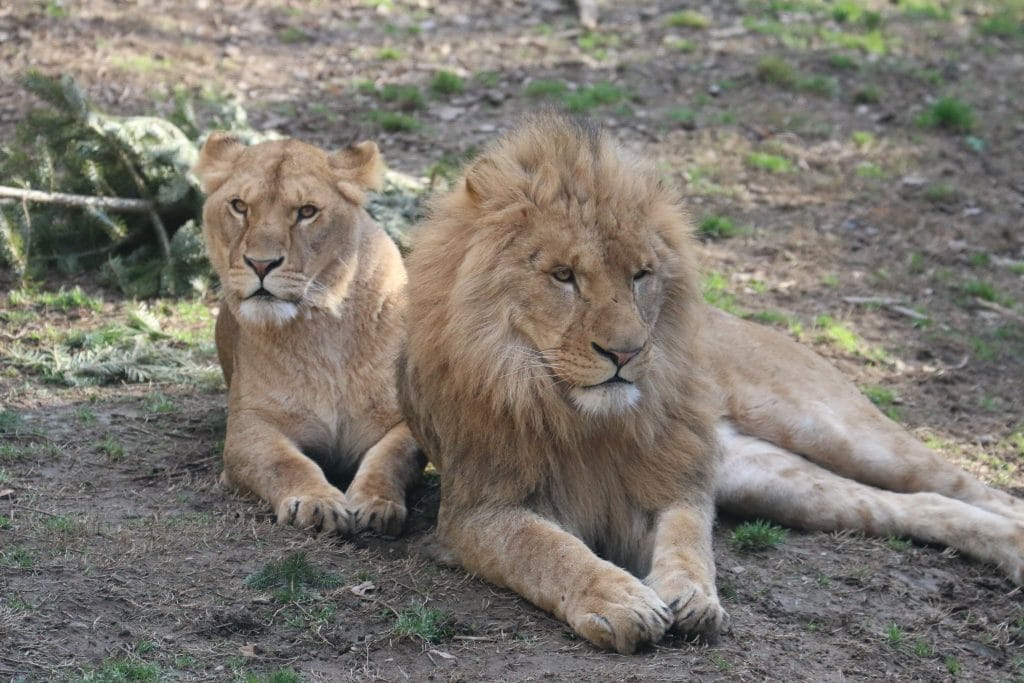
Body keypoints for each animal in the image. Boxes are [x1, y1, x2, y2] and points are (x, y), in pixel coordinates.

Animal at [193, 133, 421, 536]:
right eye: (239, 206)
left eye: (306, 211)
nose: (261, 264)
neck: (321, 326)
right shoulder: (248, 428)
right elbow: (285, 463)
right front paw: (316, 503)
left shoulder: (405, 420)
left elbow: (392, 456)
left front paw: (378, 504)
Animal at [397, 114, 1024, 655]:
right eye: (563, 276)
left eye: (641, 275)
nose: (625, 353)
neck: (577, 414)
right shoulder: (476, 511)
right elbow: (548, 550)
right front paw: (623, 602)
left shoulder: (676, 481)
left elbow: (688, 538)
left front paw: (692, 597)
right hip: (780, 484)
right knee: (917, 506)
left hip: (833, 428)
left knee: (963, 485)